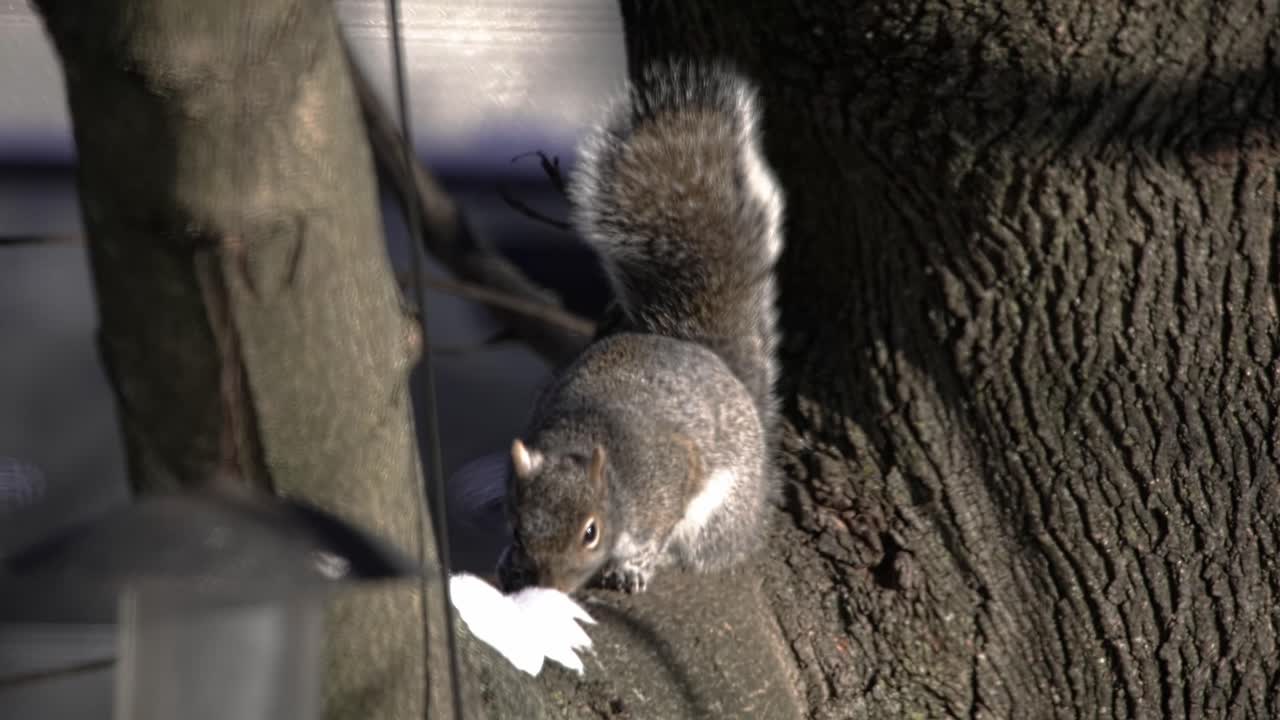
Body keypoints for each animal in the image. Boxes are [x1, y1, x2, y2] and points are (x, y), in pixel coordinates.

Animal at [495, 60, 785, 595]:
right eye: (519, 528)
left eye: (591, 532)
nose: (552, 589)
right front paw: (507, 560)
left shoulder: (667, 476)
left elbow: (660, 525)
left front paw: (635, 564)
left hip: (720, 513)